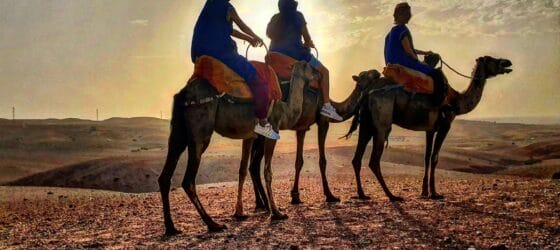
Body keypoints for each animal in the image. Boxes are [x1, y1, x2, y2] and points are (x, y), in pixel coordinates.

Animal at [159, 61, 316, 234]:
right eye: (308, 66)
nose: (317, 72)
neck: (285, 109)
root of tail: (183, 93)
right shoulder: (273, 131)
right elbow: (267, 171)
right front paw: (277, 213)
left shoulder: (249, 136)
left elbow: (242, 170)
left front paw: (239, 212)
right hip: (200, 129)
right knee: (188, 180)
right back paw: (213, 224)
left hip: (179, 131)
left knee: (165, 176)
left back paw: (171, 227)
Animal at [248, 69, 380, 208]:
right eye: (367, 75)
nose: (376, 72)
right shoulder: (323, 121)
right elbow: (322, 161)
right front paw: (330, 195)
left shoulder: (302, 128)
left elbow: (299, 162)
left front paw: (295, 196)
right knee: (254, 164)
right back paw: (265, 204)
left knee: (252, 165)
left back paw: (260, 203)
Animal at [350, 55, 512, 200]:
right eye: (490, 59)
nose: (507, 62)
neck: (456, 101)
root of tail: (367, 94)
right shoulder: (445, 125)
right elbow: (435, 158)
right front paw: (435, 193)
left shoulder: (430, 129)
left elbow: (426, 157)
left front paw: (424, 191)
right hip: (382, 123)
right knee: (374, 160)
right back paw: (392, 195)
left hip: (367, 124)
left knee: (357, 158)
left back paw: (362, 194)